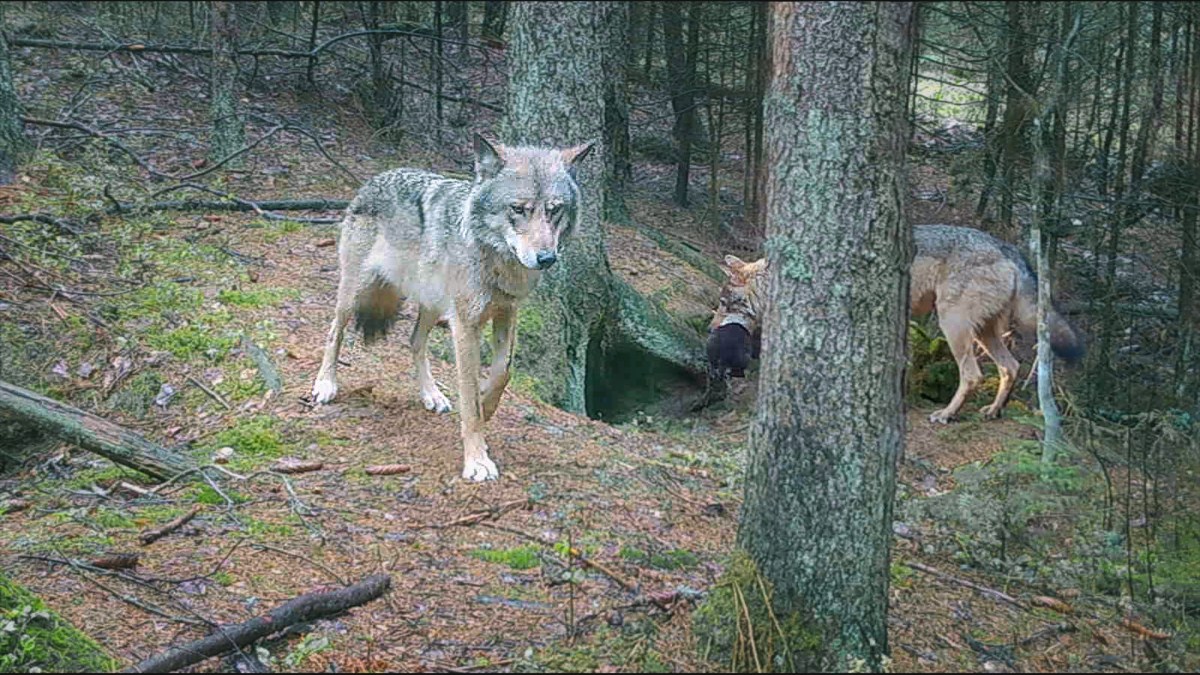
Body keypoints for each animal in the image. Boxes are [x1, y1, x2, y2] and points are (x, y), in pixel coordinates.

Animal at [310, 133, 595, 482]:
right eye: (518, 209)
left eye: (555, 211)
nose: (547, 258)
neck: (495, 260)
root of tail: (377, 178)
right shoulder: (466, 325)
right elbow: (470, 397)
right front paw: (477, 460)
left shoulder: (507, 313)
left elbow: (503, 372)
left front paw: (487, 406)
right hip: (355, 292)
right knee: (334, 332)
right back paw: (325, 384)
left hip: (432, 305)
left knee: (414, 342)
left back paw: (432, 395)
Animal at [706, 225, 1085, 424]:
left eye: (723, 302)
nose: (711, 328)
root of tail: (1009, 249)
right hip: (984, 333)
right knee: (1011, 367)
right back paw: (993, 411)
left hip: (954, 326)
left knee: (974, 375)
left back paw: (946, 414)